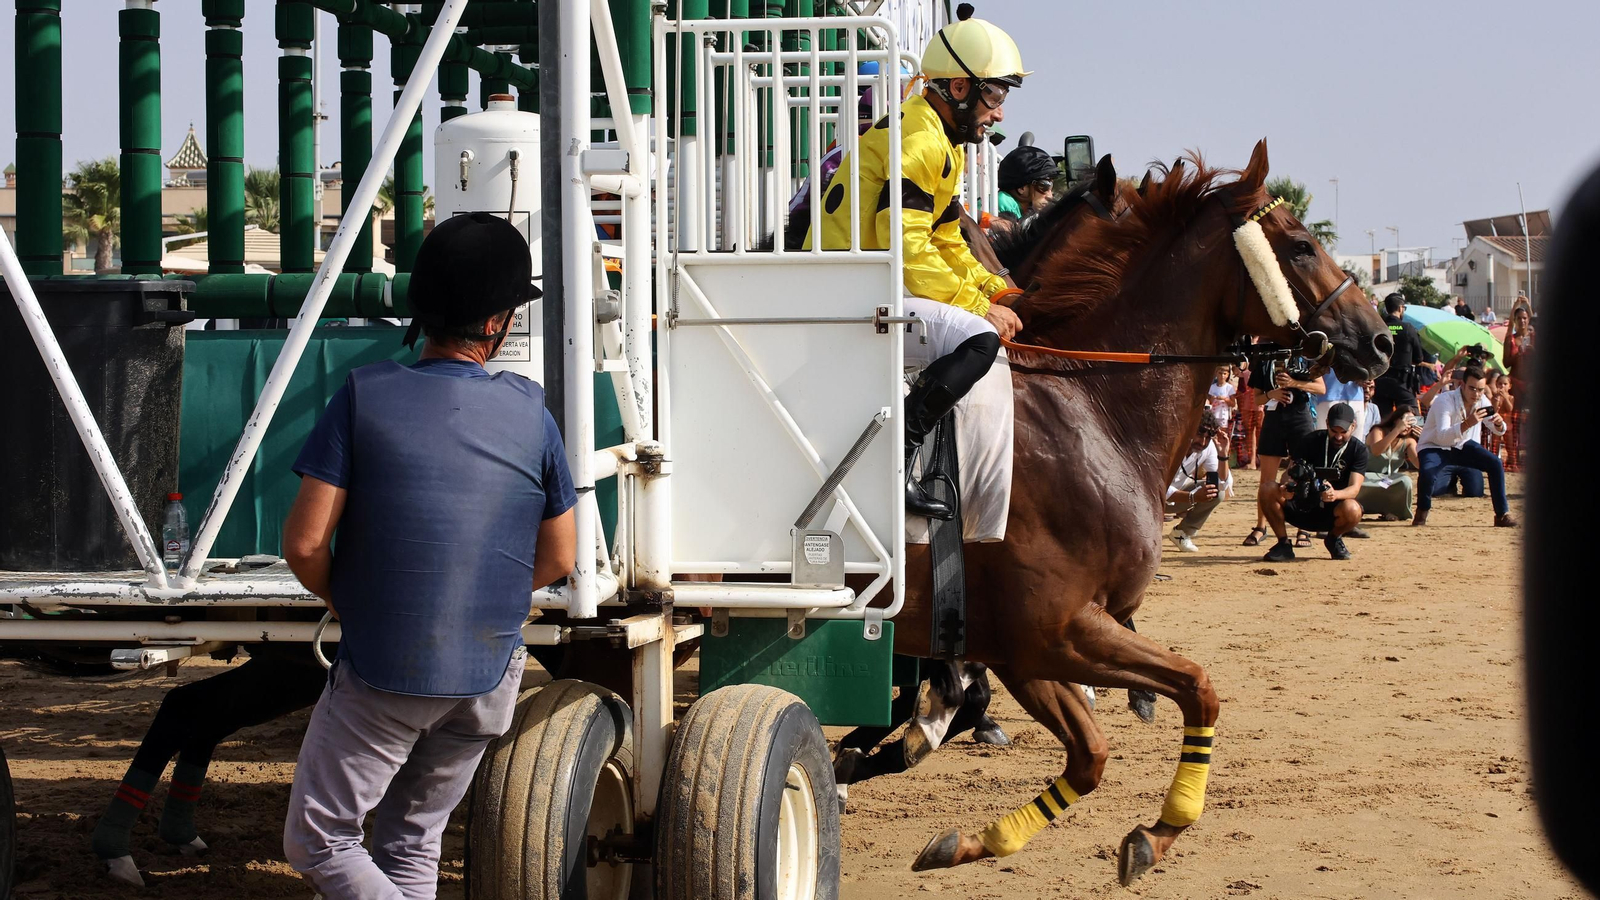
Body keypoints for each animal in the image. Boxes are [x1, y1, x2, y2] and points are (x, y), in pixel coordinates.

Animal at [879, 140, 1391, 884]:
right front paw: (1163, 827)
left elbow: (1092, 754)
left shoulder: (1019, 643)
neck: (1093, 409)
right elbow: (1198, 686)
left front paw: (975, 840)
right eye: (1300, 246)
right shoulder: (1055, 630)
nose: (1382, 341)